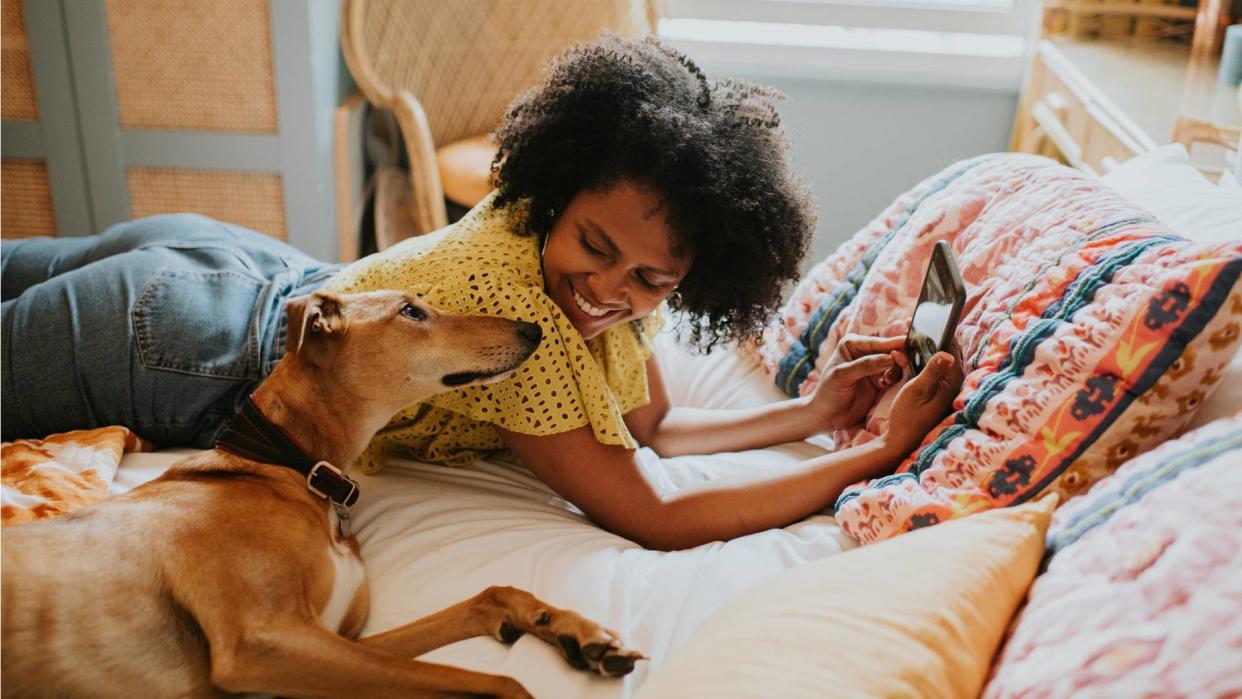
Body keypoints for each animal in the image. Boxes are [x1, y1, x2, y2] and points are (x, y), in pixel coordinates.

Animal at [7, 291, 650, 699]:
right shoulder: (264, 643)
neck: (288, 468)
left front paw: (575, 630)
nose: (533, 329)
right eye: (411, 311)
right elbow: (502, 683)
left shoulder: (337, 640)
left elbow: (489, 597)